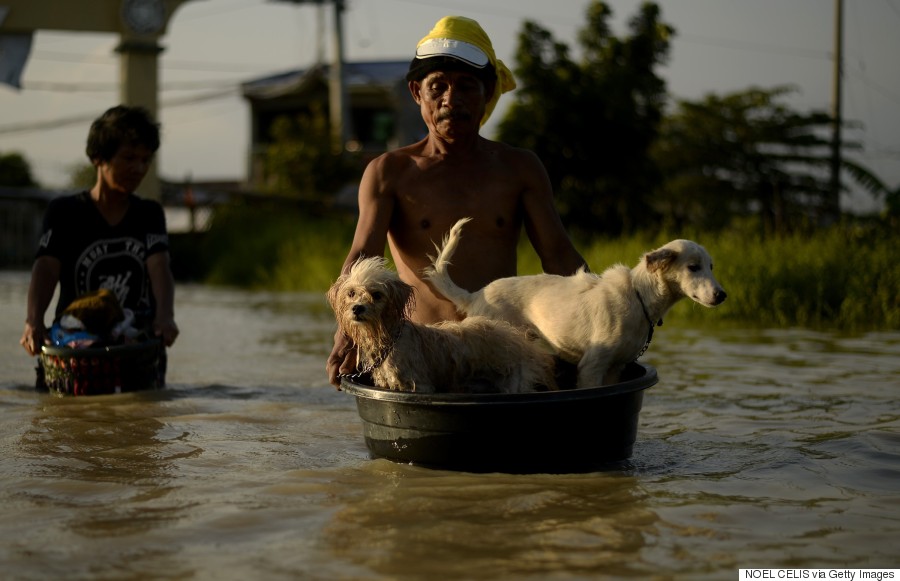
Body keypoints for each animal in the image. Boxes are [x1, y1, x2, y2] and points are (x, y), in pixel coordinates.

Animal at [326, 258, 560, 394]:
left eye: (377, 295)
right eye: (351, 293)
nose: (357, 308)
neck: (389, 340)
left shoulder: (419, 386)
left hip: (515, 382)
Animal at [426, 218, 728, 390]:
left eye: (712, 267)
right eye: (693, 267)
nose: (722, 295)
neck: (639, 298)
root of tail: (475, 295)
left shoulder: (616, 368)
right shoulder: (592, 366)